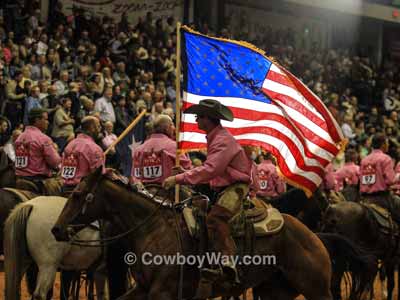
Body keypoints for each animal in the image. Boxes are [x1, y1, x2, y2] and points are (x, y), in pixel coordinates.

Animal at [50, 169, 372, 300]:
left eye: (78, 195)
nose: (56, 229)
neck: (154, 229)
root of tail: (316, 238)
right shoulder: (143, 289)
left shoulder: (162, 292)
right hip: (275, 291)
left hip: (317, 289)